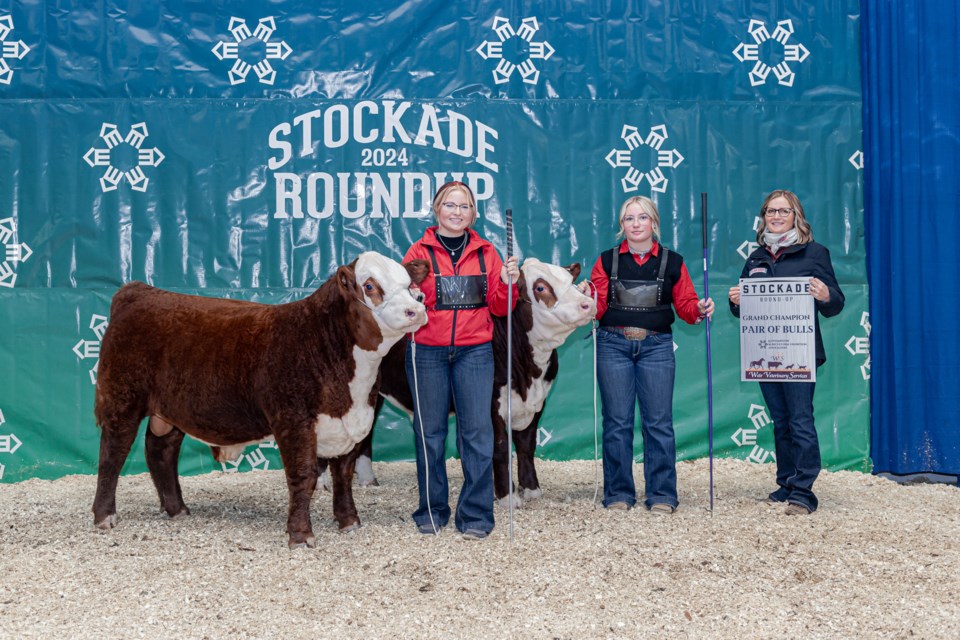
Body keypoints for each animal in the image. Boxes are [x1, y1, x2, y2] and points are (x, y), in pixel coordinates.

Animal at [93, 252, 428, 548]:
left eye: (409, 282)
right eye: (369, 286)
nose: (416, 309)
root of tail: (139, 291)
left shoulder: (353, 422)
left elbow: (343, 474)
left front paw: (349, 522)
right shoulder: (293, 420)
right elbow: (302, 475)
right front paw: (301, 535)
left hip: (172, 410)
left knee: (160, 450)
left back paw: (177, 510)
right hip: (121, 400)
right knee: (112, 455)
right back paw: (104, 516)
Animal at [320, 258, 592, 508]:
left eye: (570, 280)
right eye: (540, 287)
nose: (587, 303)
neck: (528, 374)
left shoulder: (538, 400)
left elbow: (527, 445)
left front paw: (532, 490)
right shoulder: (491, 403)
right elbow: (500, 447)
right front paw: (508, 497)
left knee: (366, 435)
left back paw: (367, 479)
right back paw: (323, 482)